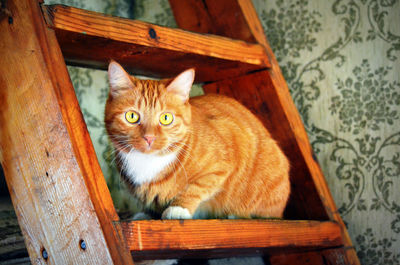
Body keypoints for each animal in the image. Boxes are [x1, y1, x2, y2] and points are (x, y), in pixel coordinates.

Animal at [104, 61, 290, 219]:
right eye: (132, 116)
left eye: (166, 118)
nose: (149, 138)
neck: (147, 163)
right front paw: (146, 214)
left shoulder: (222, 164)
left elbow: (196, 188)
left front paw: (178, 208)